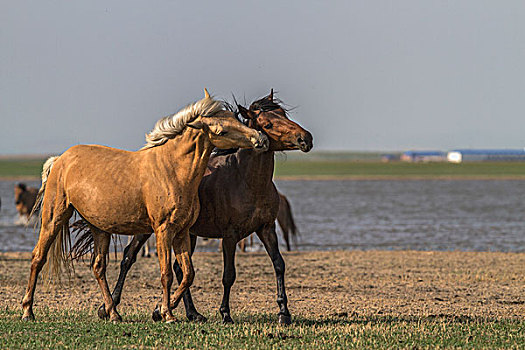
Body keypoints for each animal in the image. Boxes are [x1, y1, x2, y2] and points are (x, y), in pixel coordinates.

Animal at [21, 91, 268, 322]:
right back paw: (27, 311)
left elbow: (188, 274)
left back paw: (113, 313)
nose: (261, 139)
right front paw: (166, 314)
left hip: (99, 228)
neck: (172, 169)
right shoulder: (163, 231)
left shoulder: (182, 232)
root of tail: (60, 160)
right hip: (54, 218)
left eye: (235, 118)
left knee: (98, 267)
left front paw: (163, 309)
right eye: (221, 131)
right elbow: (167, 273)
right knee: (38, 258)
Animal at [72, 89, 312, 324]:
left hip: (189, 234)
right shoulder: (230, 235)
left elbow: (279, 264)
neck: (247, 182)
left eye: (284, 114)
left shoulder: (267, 229)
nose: (305, 138)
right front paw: (225, 313)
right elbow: (229, 275)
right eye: (267, 124)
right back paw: (110, 307)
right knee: (128, 259)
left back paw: (188, 312)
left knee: (179, 269)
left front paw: (284, 313)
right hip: (147, 231)